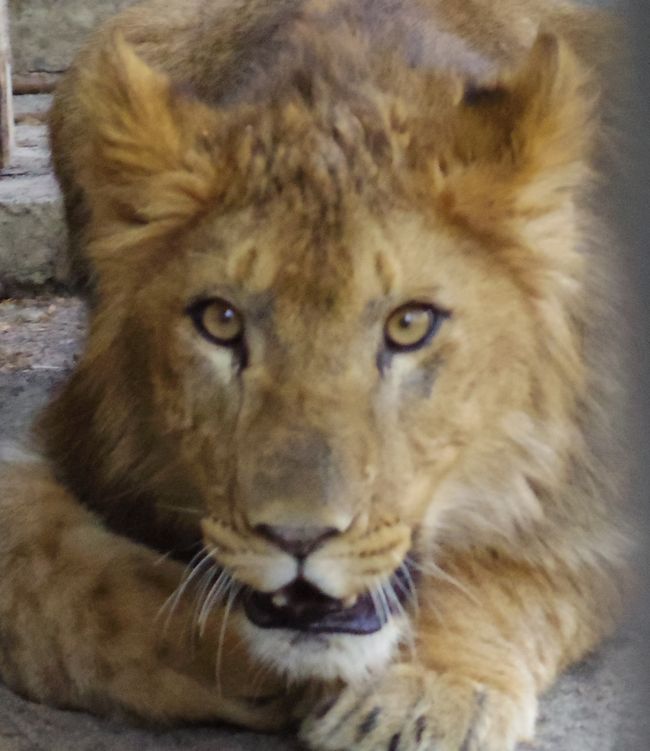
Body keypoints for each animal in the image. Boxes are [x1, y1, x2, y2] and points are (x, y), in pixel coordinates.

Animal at [0, 0, 628, 748]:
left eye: (409, 325)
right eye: (221, 321)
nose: (298, 538)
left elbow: (517, 570)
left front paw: (424, 694)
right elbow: (48, 583)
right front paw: (241, 659)